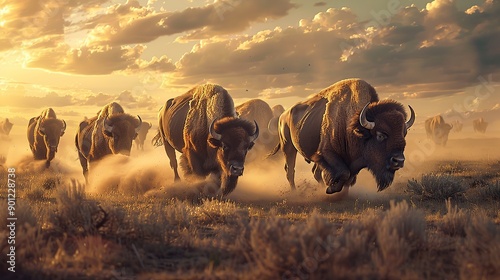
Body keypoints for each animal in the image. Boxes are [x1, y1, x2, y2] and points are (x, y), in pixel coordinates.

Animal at [270, 77, 414, 194]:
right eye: (380, 134)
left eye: (404, 133)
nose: (399, 161)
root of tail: (283, 116)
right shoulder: (327, 154)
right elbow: (343, 174)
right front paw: (331, 188)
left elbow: (348, 178)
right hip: (288, 147)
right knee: (290, 171)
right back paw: (295, 192)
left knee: (313, 173)